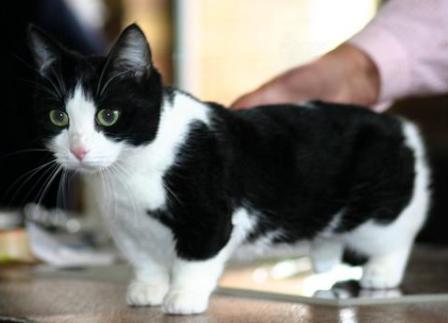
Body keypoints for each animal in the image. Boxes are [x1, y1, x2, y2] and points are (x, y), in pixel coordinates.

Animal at [28, 23, 430, 316]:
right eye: (58, 117)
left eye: (108, 116)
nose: (78, 149)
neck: (130, 168)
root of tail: (400, 126)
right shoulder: (126, 227)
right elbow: (145, 261)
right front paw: (148, 289)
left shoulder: (211, 217)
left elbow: (196, 257)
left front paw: (183, 297)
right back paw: (324, 254)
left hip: (383, 210)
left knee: (395, 236)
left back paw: (381, 272)